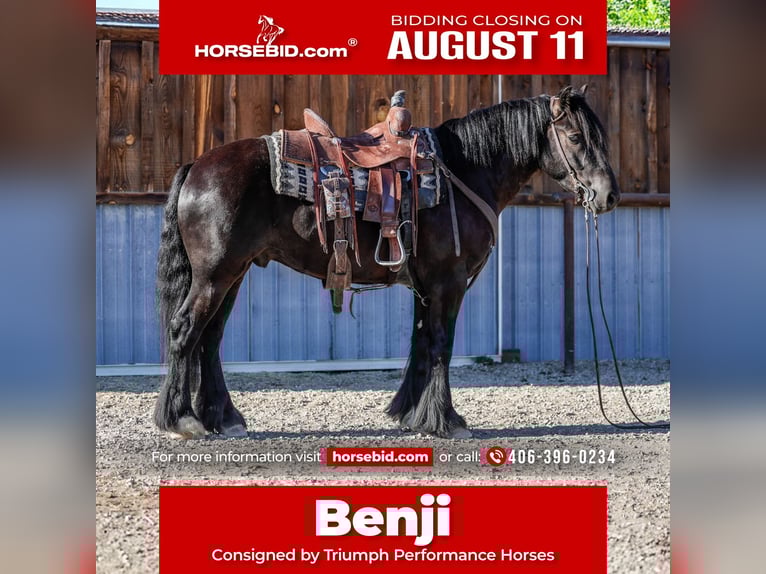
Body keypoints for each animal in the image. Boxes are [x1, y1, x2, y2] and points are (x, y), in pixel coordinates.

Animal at [153, 85, 620, 440]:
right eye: (575, 138)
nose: (609, 195)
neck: (464, 172)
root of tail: (197, 165)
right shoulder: (448, 283)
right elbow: (441, 344)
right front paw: (446, 421)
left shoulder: (425, 287)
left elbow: (420, 341)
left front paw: (412, 414)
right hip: (215, 275)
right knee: (185, 330)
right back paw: (182, 420)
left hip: (233, 274)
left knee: (210, 339)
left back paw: (224, 418)